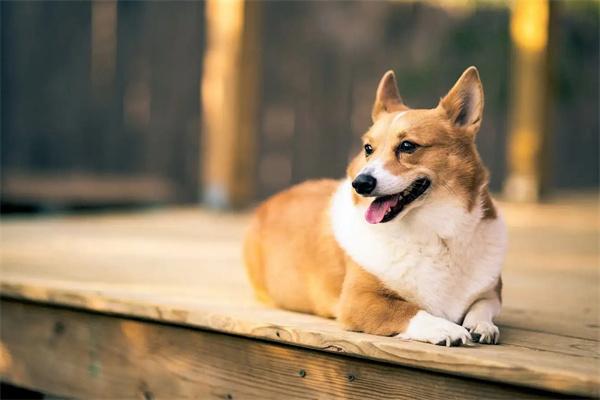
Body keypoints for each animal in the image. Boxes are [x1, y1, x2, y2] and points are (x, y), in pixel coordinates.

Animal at [244, 66, 506, 346]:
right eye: (368, 148)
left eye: (407, 146)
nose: (360, 183)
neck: (434, 233)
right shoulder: (359, 300)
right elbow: (409, 310)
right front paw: (446, 328)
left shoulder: (492, 293)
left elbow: (482, 305)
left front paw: (482, 326)